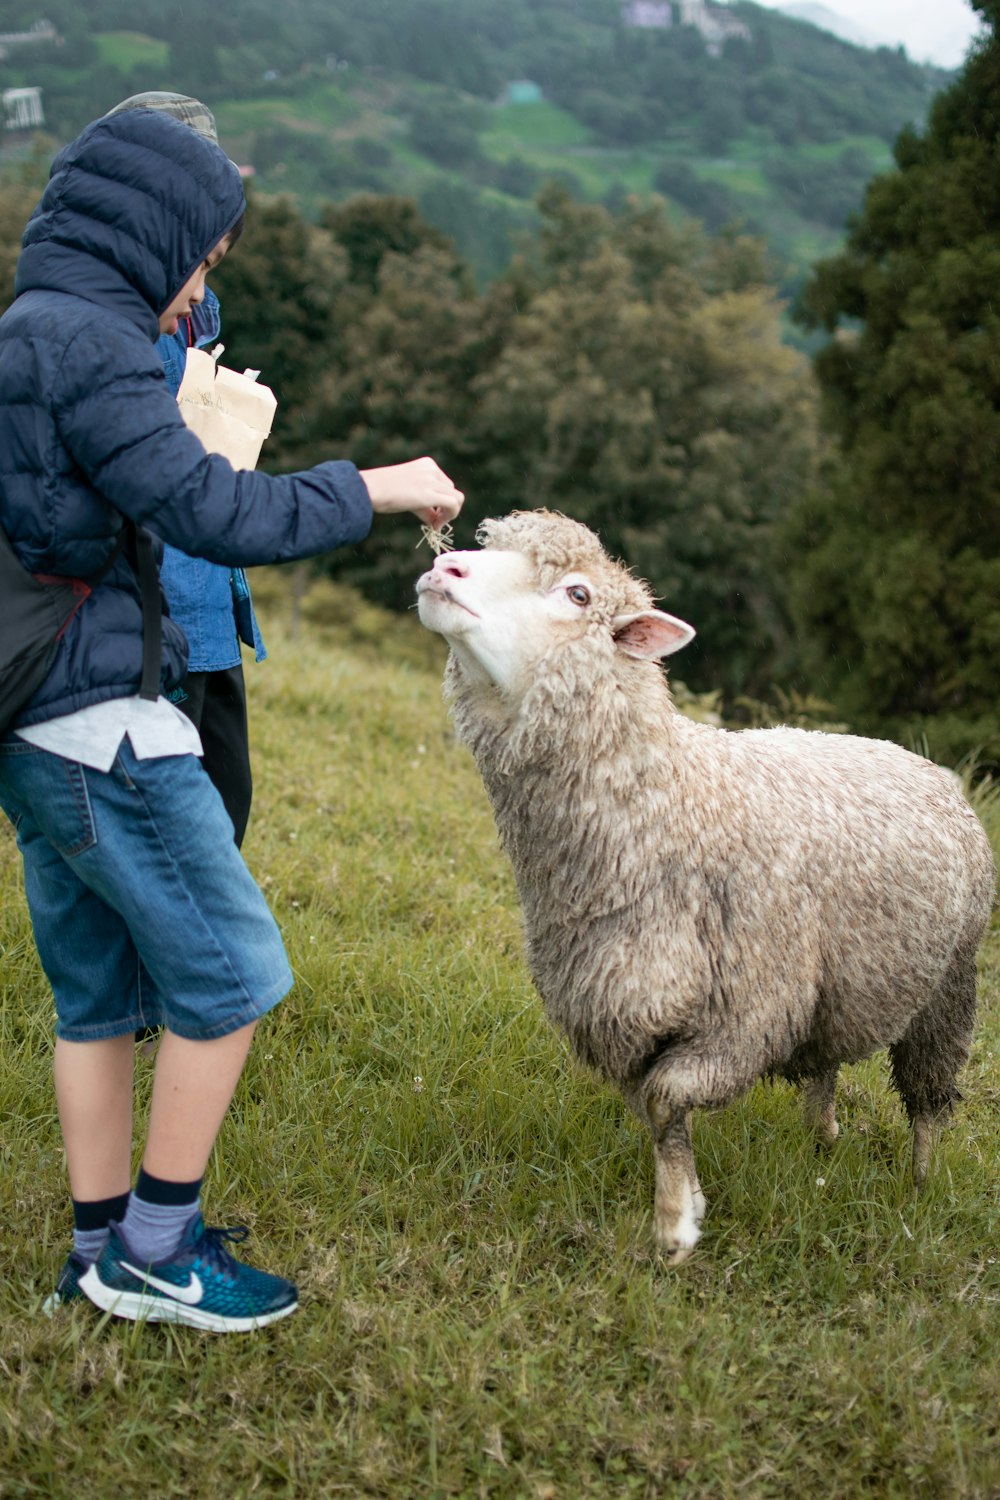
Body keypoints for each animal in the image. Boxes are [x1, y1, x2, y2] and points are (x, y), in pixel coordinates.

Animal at [413, 510, 995, 1260]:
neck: (674, 809)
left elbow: (667, 1101)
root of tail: (925, 763)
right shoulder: (625, 1010)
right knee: (825, 1063)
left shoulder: (745, 1017)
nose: (443, 569)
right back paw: (821, 1138)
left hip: (949, 981)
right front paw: (682, 1204)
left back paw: (918, 1183)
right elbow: (660, 1116)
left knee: (927, 1095)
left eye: (577, 594)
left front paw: (674, 1229)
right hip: (829, 986)